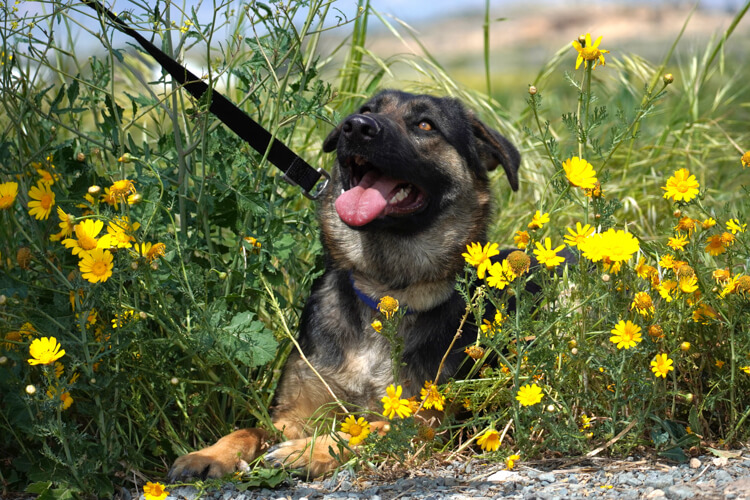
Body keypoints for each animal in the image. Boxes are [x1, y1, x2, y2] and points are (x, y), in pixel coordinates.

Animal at [170, 89, 524, 480]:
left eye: (425, 124)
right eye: (366, 110)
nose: (356, 127)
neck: (384, 293)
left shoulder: (421, 421)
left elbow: (363, 430)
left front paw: (305, 451)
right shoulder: (294, 414)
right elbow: (250, 429)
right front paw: (211, 454)